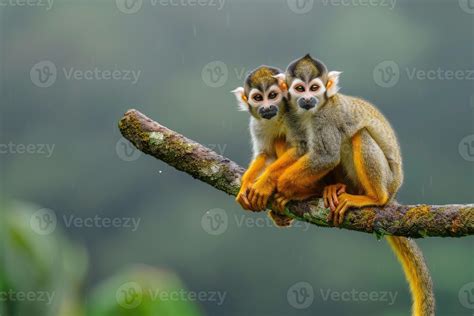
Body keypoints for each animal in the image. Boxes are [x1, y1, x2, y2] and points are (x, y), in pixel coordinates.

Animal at [231, 65, 294, 226]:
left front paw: (264, 184)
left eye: (272, 95)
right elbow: (266, 154)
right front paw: (247, 182)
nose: (267, 107)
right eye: (258, 98)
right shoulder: (256, 124)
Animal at [274, 55, 436, 316]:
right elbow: (300, 149)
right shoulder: (292, 116)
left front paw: (283, 187)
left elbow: (325, 156)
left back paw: (374, 198)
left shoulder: (325, 118)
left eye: (314, 88)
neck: (310, 114)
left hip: (388, 181)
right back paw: (334, 189)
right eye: (299, 89)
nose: (308, 99)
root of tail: (393, 191)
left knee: (359, 135)